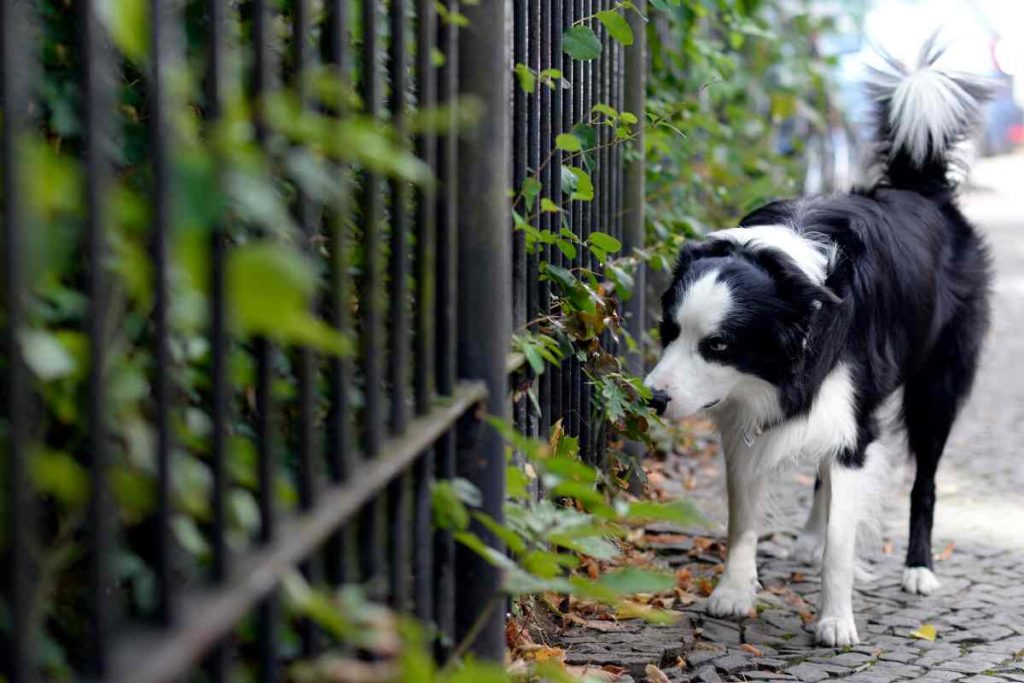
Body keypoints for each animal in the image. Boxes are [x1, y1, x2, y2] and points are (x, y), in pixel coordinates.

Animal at [647, 40, 991, 651]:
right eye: (669, 332)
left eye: (718, 345)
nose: (654, 399)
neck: (793, 287)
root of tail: (922, 190)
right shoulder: (748, 415)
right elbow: (743, 518)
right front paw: (733, 591)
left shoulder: (850, 418)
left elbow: (843, 542)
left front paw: (835, 620)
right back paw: (808, 537)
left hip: (936, 388)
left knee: (923, 481)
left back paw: (919, 568)